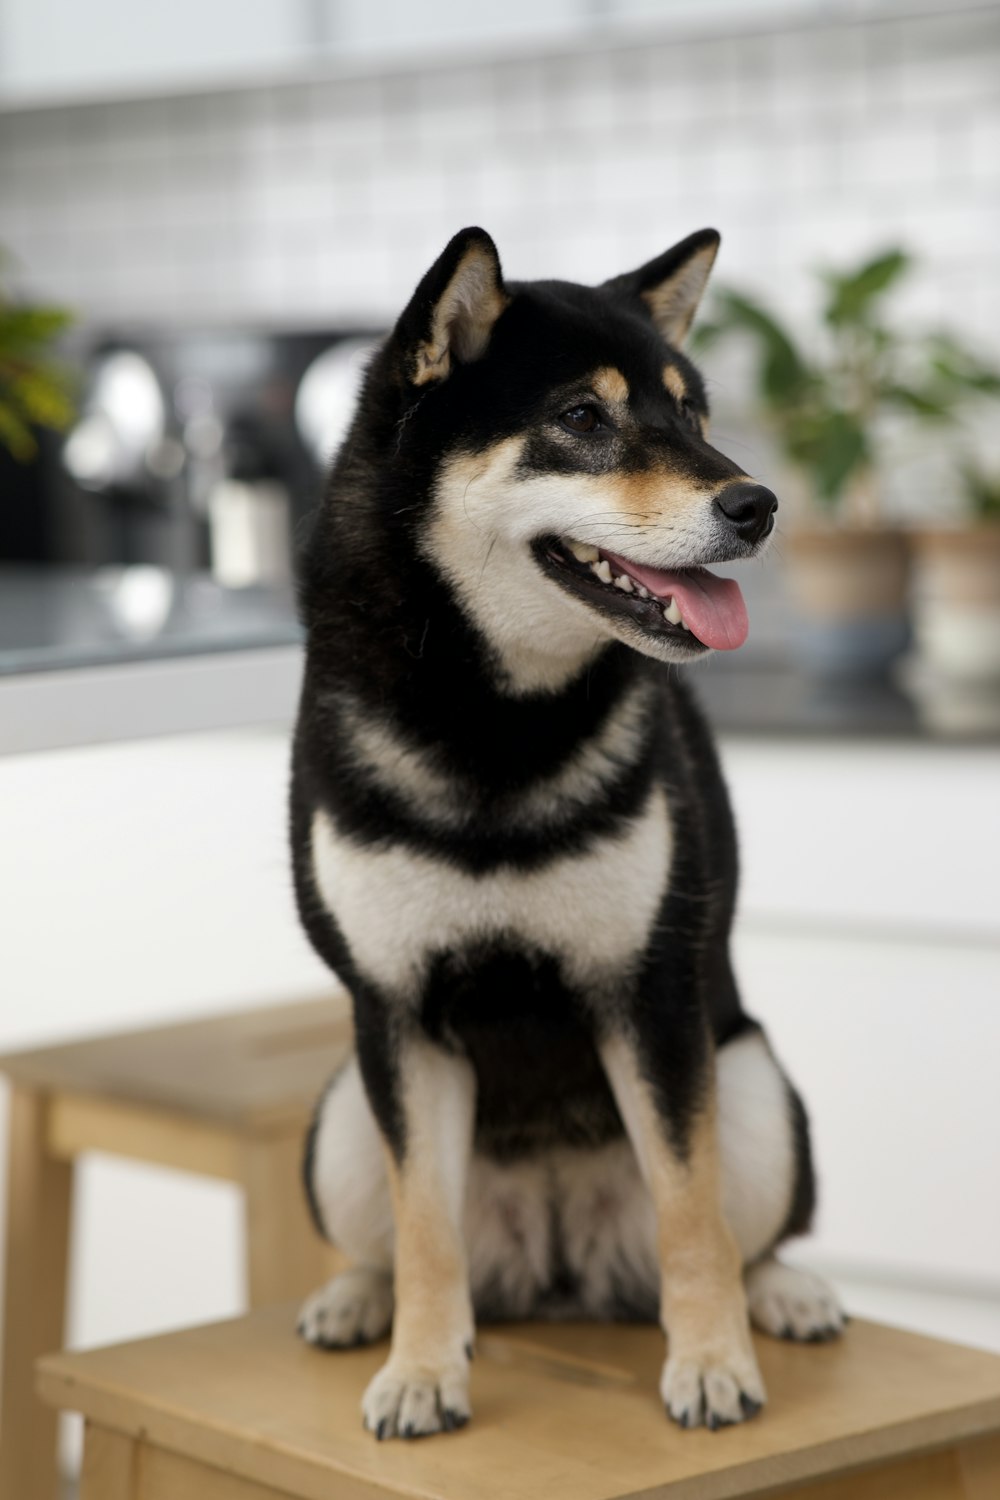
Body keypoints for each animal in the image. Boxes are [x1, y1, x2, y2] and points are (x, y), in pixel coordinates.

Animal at [289, 225, 845, 1440]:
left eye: (694, 412)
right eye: (582, 418)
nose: (758, 503)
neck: (495, 720)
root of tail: (554, 1267)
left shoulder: (648, 997)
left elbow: (692, 1217)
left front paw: (711, 1364)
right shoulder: (399, 1016)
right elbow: (423, 1230)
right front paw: (421, 1372)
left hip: (756, 1087)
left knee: (749, 1232)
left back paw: (785, 1294)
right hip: (343, 1111)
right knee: (393, 1239)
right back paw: (357, 1301)